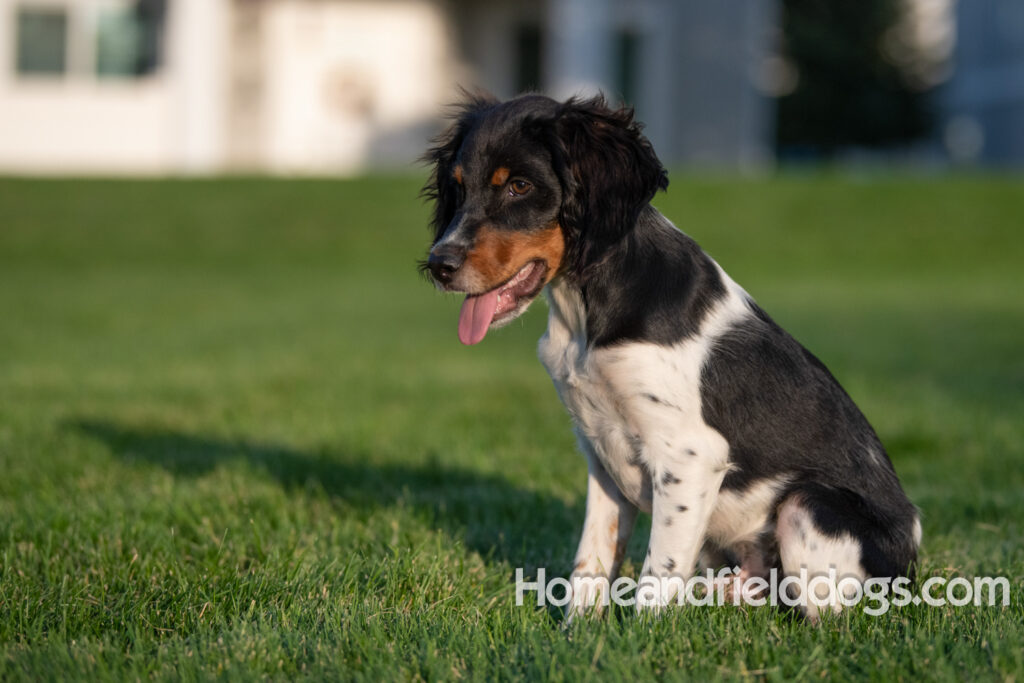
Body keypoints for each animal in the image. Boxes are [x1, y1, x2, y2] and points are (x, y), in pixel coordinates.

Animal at [419, 93, 925, 622]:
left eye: (519, 186)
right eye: (458, 187)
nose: (438, 265)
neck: (586, 316)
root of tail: (910, 566)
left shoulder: (690, 455)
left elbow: (657, 573)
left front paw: (640, 635)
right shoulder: (599, 453)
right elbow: (591, 561)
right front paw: (579, 631)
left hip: (808, 506)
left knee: (822, 613)